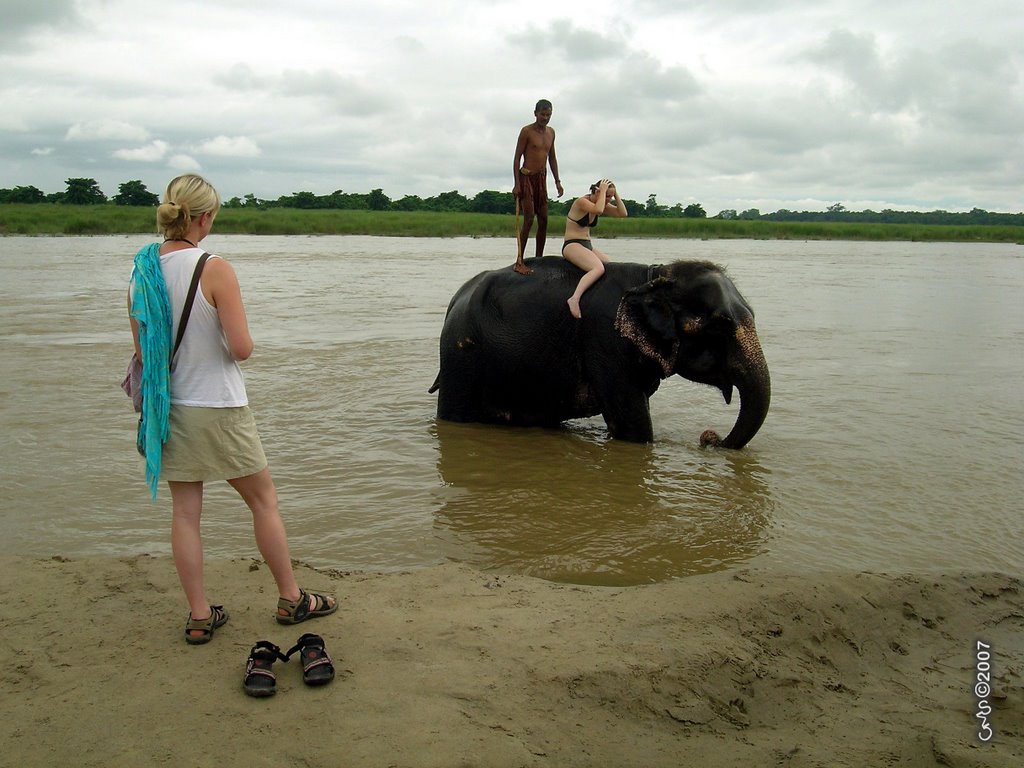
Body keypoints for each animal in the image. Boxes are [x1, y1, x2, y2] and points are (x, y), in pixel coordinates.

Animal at [428, 260, 770, 450]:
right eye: (720, 326)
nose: (708, 438)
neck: (653, 275)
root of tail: (456, 300)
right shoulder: (605, 339)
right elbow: (632, 424)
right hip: (461, 359)